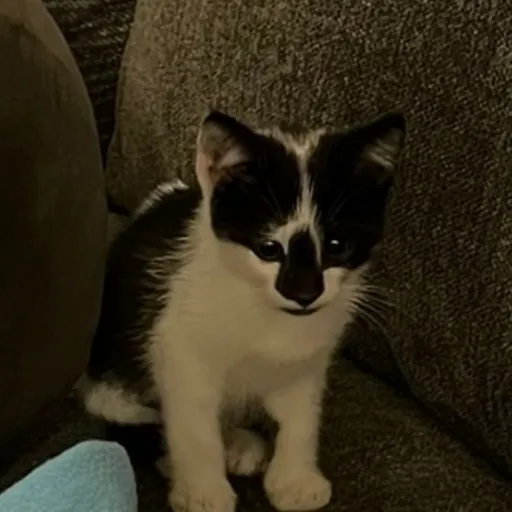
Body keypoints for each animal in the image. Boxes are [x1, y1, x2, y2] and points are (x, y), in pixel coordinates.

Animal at [79, 110, 405, 512]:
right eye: (268, 248)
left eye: (336, 245)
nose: (304, 293)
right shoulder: (178, 345)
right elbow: (194, 423)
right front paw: (203, 491)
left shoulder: (310, 357)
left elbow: (302, 416)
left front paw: (295, 480)